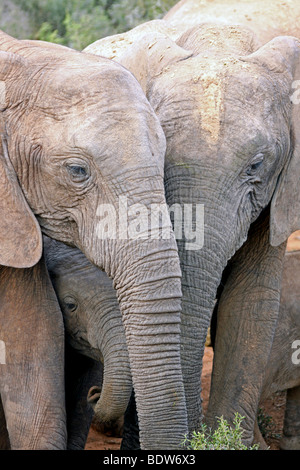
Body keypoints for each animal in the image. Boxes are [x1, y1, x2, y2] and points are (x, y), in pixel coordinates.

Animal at [84, 19, 300, 444]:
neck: (220, 40)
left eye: (256, 165)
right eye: (161, 157)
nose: (194, 434)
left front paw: (227, 440)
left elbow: (252, 301)